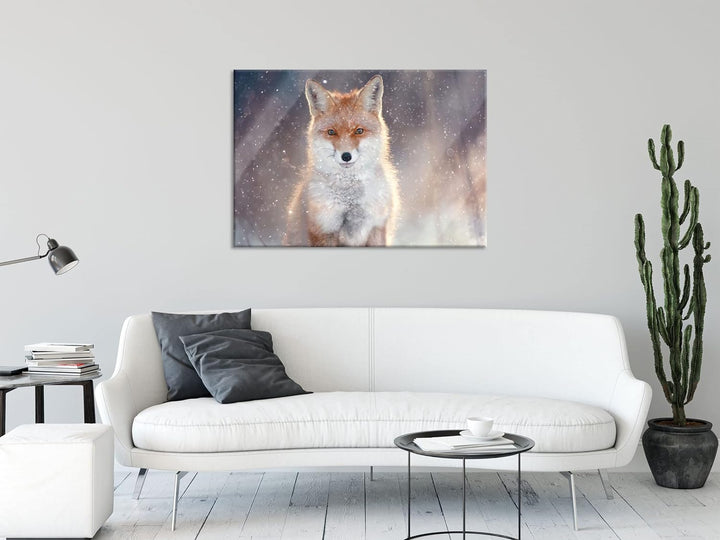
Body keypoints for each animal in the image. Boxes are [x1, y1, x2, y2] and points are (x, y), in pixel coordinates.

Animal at [284, 74, 400, 246]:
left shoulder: (377, 227)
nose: (346, 156)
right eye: (331, 132)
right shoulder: (323, 229)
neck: (350, 200)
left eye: (359, 131)